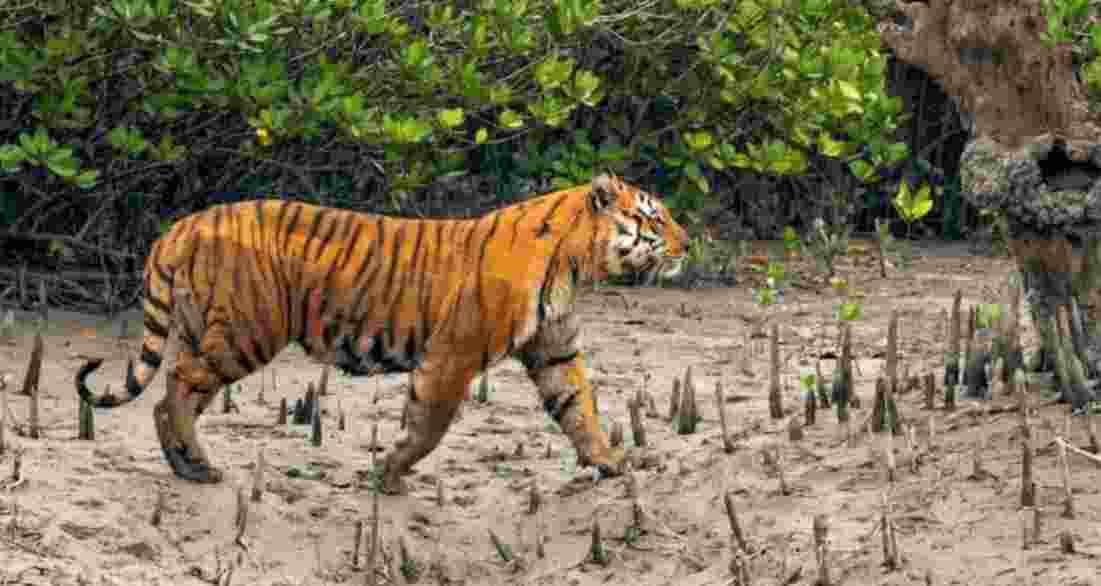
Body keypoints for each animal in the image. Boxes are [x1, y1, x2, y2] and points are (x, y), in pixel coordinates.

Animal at [76, 172, 689, 494]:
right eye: (654, 218)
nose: (689, 244)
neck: (575, 263)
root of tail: (178, 228)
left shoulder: (554, 350)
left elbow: (579, 410)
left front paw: (611, 463)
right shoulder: (452, 354)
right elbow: (429, 425)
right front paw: (389, 475)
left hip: (206, 331)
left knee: (167, 395)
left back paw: (184, 464)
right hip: (246, 333)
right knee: (178, 386)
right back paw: (200, 467)